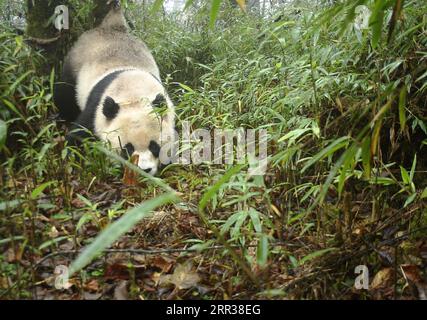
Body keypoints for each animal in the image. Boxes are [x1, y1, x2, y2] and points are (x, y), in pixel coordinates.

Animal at [54, 5, 176, 175]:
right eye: (127, 149)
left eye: (154, 147)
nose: (144, 170)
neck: (133, 93)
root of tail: (112, 26)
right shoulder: (96, 107)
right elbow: (79, 134)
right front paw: (72, 160)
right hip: (75, 63)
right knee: (64, 93)